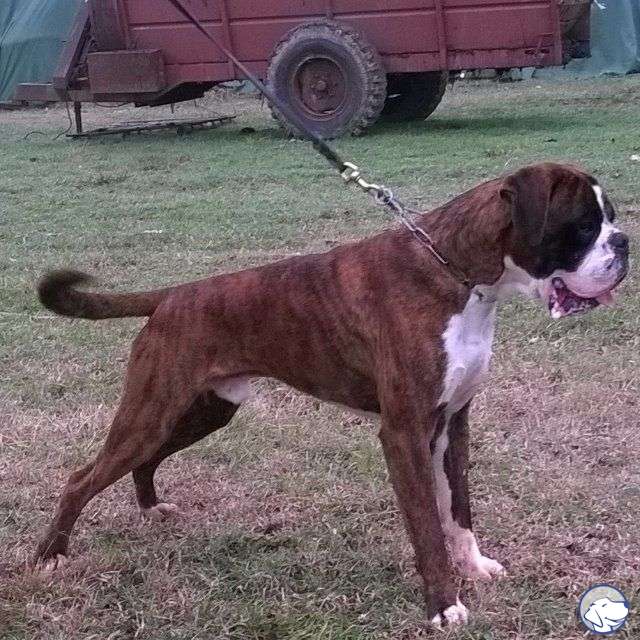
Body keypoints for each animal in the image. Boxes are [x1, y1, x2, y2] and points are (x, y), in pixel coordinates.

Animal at [34, 162, 628, 627]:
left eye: (610, 218)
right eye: (582, 226)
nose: (624, 243)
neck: (457, 274)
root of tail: (172, 297)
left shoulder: (452, 425)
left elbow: (457, 511)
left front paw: (474, 567)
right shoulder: (405, 433)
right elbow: (426, 527)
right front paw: (443, 604)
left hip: (202, 411)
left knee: (147, 459)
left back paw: (150, 508)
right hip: (152, 412)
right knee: (81, 478)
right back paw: (49, 558)